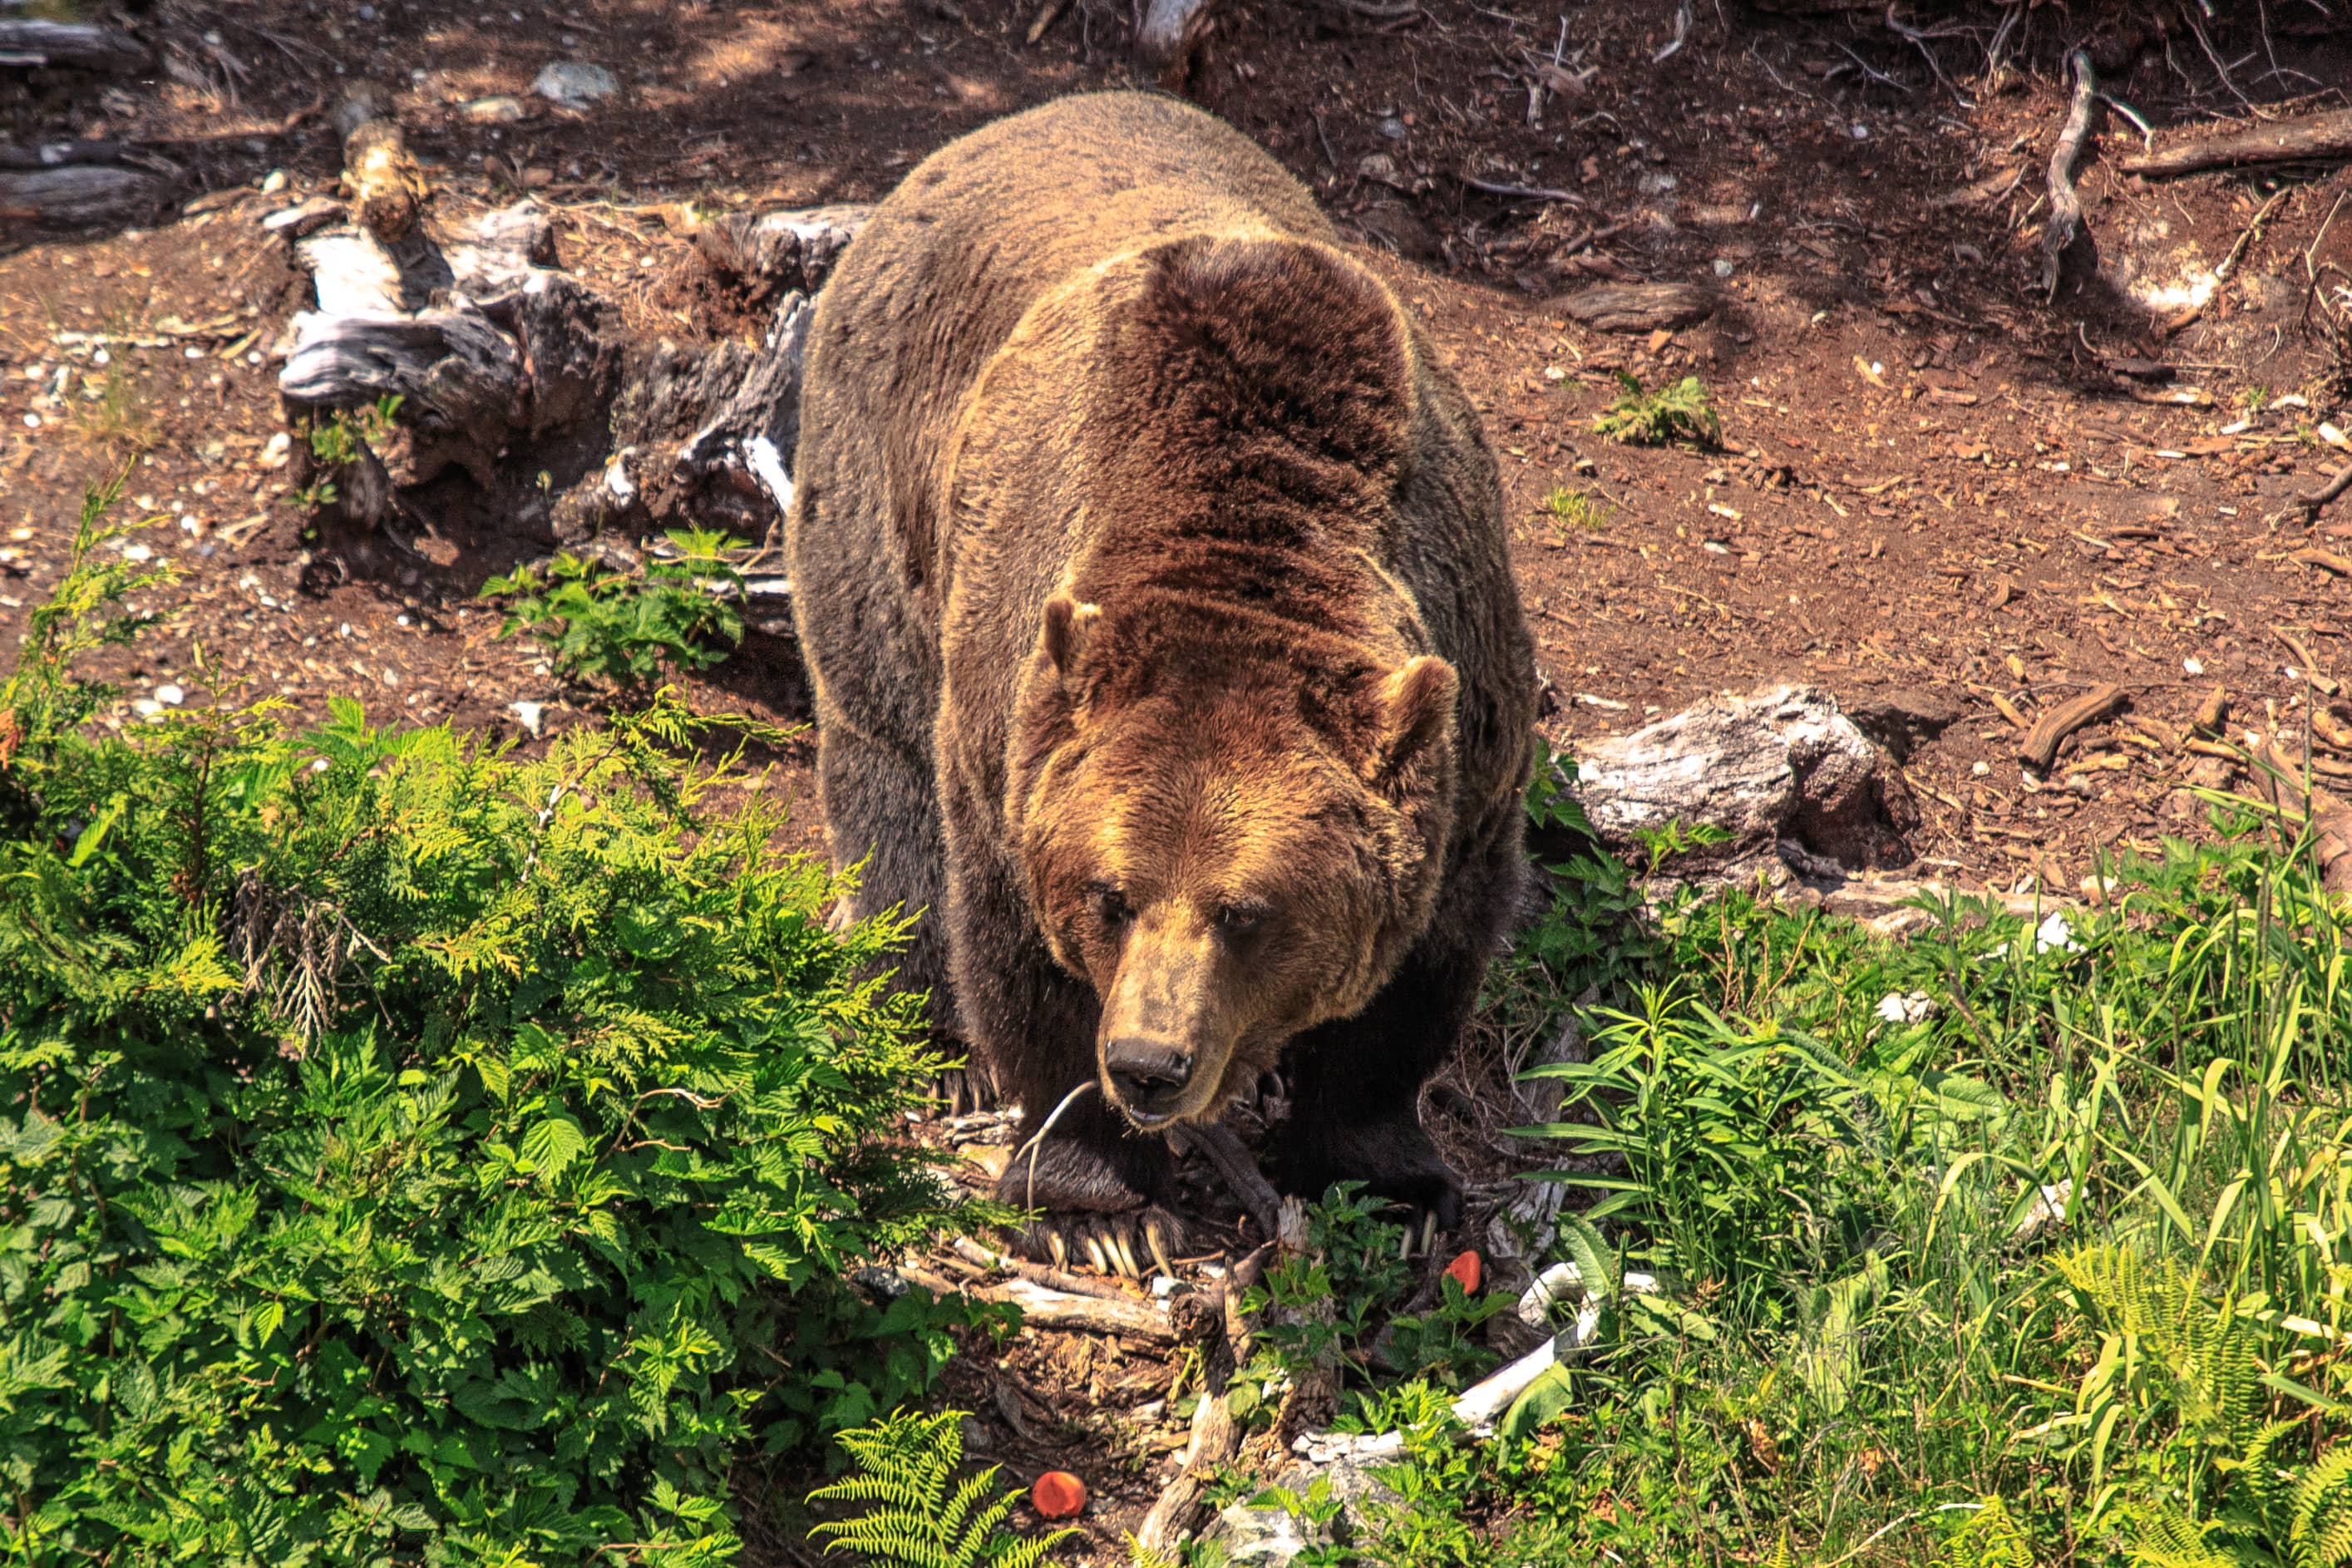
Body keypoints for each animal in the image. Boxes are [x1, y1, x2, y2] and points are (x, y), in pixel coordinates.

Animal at [787, 91, 1536, 1272]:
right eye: (1112, 893)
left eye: (1247, 910)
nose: (1150, 1062)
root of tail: (997, 128)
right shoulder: (1016, 733)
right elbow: (1022, 959)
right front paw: (1096, 1208)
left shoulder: (1469, 741)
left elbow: (1420, 977)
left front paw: (1391, 1183)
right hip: (878, 493)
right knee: (882, 755)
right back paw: (934, 1034)